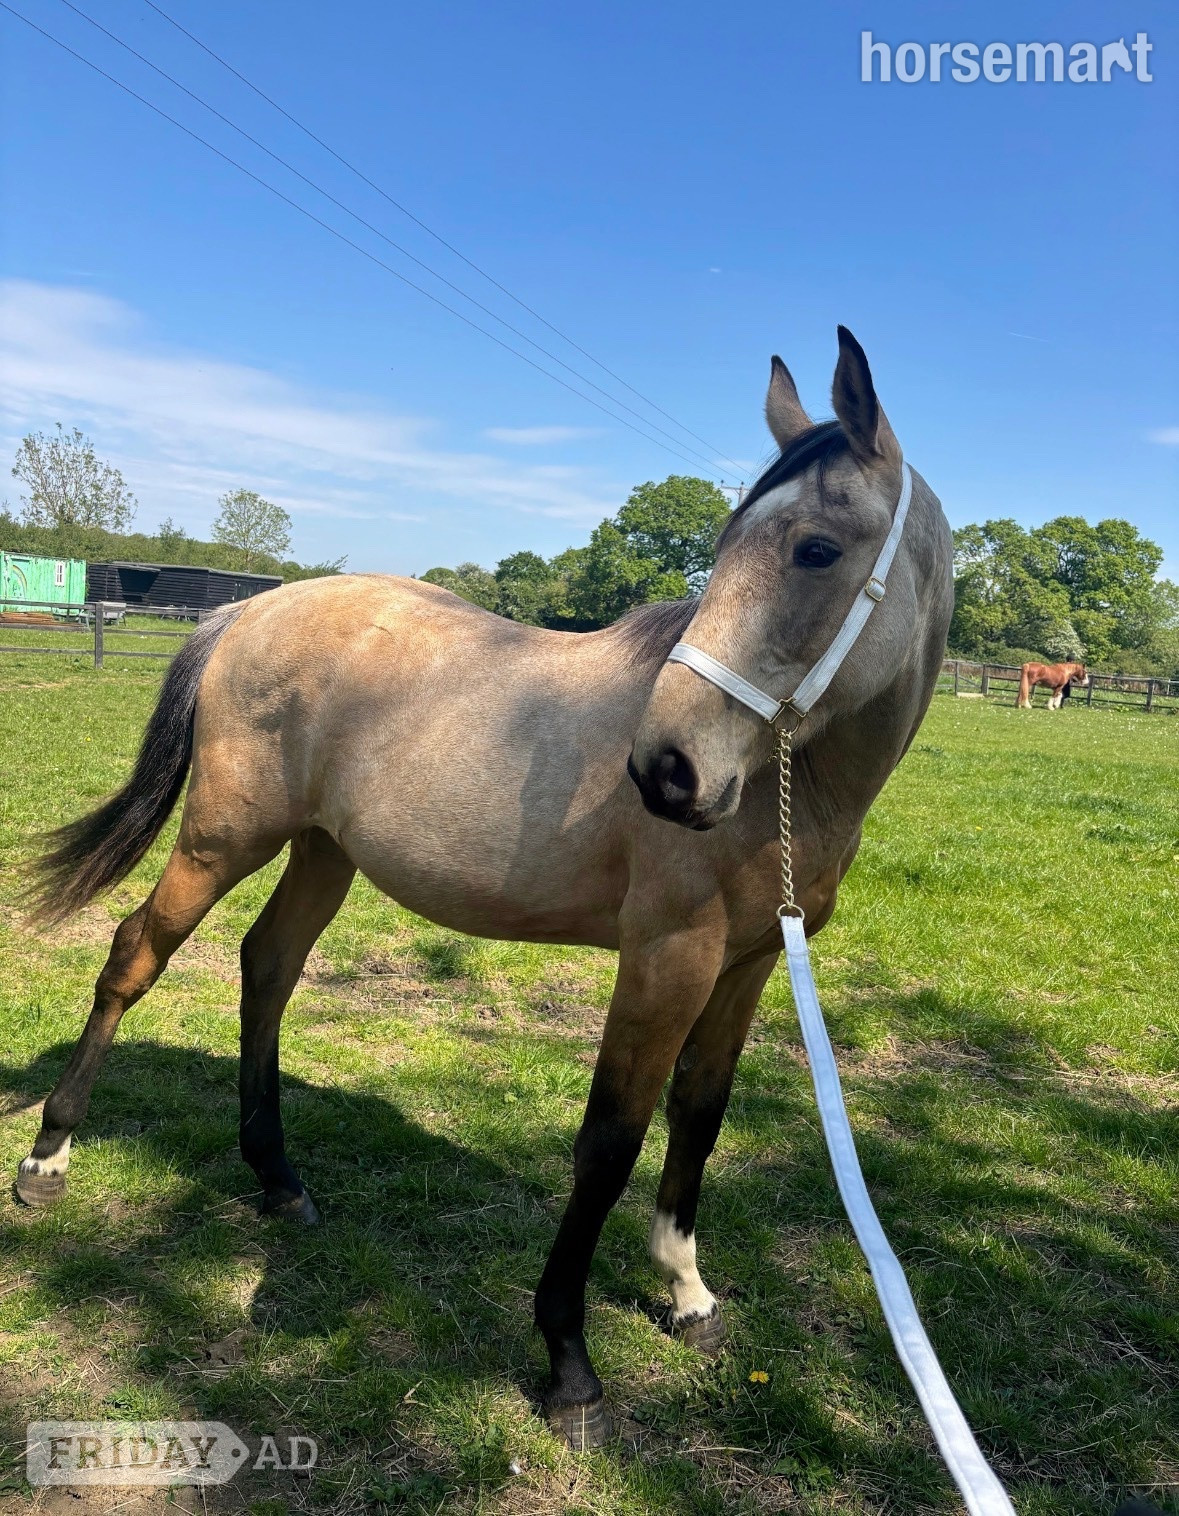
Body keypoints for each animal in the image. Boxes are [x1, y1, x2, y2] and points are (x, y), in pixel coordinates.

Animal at [17, 328, 953, 1448]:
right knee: (135, 954)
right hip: (223, 836)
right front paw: (568, 1360)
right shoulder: (665, 961)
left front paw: (685, 1292)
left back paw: (279, 1182)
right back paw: (49, 1157)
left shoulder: (750, 964)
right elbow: (609, 1140)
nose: (666, 771)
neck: (789, 788)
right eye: (727, 546)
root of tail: (250, 607)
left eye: (815, 549)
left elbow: (700, 1111)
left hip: (323, 850)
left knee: (267, 968)